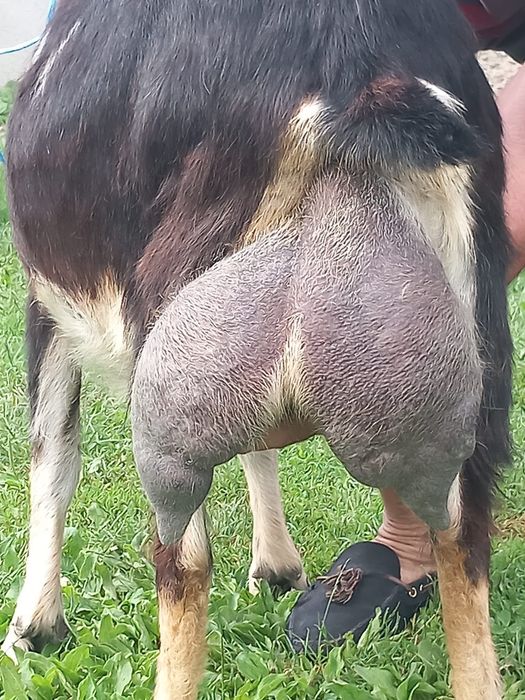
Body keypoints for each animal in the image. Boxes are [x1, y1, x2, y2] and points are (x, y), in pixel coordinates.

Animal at [2, 1, 511, 699]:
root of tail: (353, 61)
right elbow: (257, 447)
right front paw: (276, 566)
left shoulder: (45, 303)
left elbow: (52, 457)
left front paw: (33, 628)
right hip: (469, 345)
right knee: (462, 537)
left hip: (164, 354)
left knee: (182, 556)